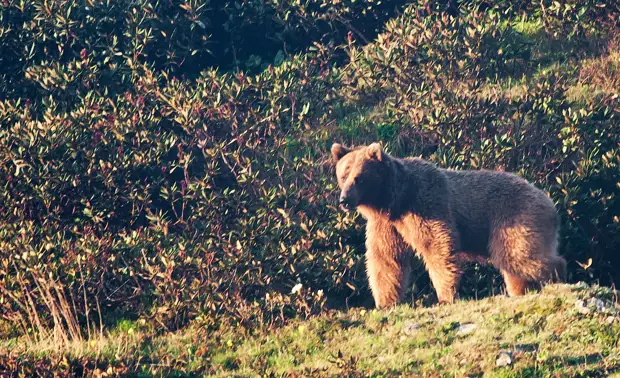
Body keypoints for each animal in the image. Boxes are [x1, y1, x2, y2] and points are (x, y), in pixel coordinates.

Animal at [332, 143, 564, 308]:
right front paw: (385, 303)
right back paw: (523, 290)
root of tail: (549, 201)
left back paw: (558, 274)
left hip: (515, 217)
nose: (344, 200)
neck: (395, 199)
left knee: (518, 256)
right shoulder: (387, 225)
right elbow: (386, 259)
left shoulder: (427, 203)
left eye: (359, 178)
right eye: (343, 175)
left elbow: (437, 246)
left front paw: (446, 295)